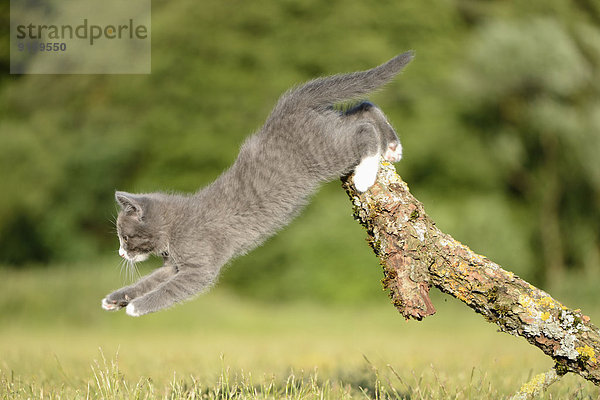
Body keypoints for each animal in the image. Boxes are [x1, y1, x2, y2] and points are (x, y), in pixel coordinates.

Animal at [102, 51, 412, 318]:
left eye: (126, 237)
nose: (120, 252)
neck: (175, 227)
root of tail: (286, 108)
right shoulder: (172, 266)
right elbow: (149, 280)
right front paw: (117, 298)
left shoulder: (198, 267)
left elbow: (168, 290)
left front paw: (136, 306)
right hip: (327, 129)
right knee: (364, 108)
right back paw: (392, 146)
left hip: (324, 153)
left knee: (362, 130)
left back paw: (365, 173)